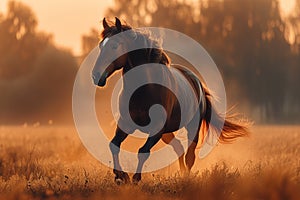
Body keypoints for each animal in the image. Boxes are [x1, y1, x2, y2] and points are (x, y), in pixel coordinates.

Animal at [92, 18, 251, 184]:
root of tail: (197, 82)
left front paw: (135, 178)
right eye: (101, 45)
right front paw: (121, 176)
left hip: (192, 128)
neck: (145, 89)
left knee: (189, 156)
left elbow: (143, 151)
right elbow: (114, 145)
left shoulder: (156, 128)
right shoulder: (126, 124)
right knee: (179, 148)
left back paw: (186, 177)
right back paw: (181, 174)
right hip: (167, 133)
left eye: (115, 45)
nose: (96, 76)